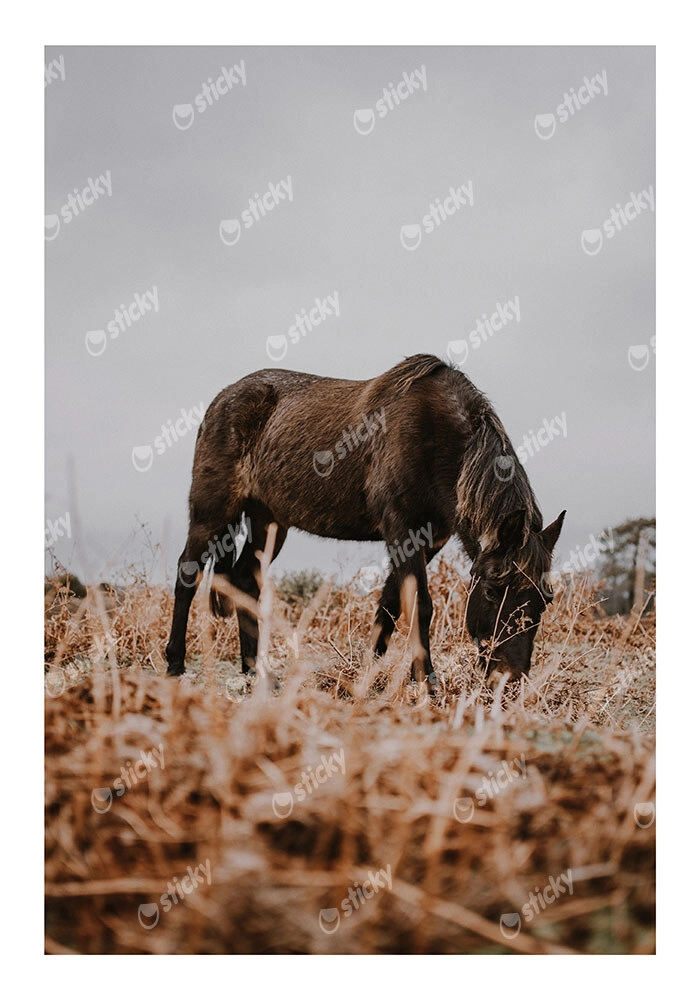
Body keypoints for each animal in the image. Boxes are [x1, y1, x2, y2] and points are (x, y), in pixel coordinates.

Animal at [165, 354, 565, 692]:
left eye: (545, 599)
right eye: (493, 591)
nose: (509, 680)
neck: (434, 434)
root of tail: (222, 399)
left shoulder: (429, 539)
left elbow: (389, 605)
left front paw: (369, 676)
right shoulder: (402, 529)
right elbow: (419, 604)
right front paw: (428, 683)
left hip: (269, 522)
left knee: (245, 580)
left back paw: (256, 671)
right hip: (212, 513)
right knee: (188, 573)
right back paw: (175, 665)